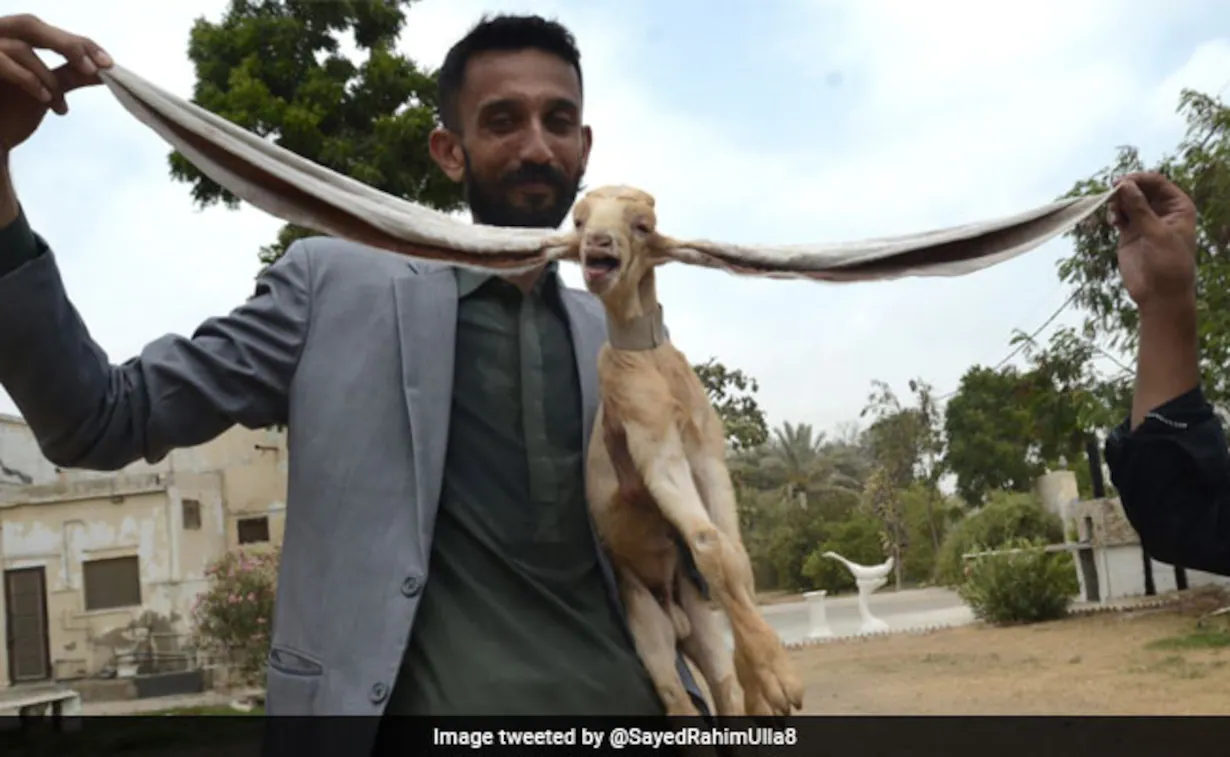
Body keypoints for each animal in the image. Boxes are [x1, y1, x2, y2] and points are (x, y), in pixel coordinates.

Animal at [568, 187, 801, 718]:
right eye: (579, 220)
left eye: (644, 225)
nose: (598, 245)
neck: (648, 361)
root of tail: (673, 619)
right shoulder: (654, 450)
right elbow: (709, 544)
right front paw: (780, 679)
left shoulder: (706, 452)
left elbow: (735, 555)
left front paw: (760, 682)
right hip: (644, 622)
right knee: (677, 701)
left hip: (699, 621)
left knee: (720, 685)